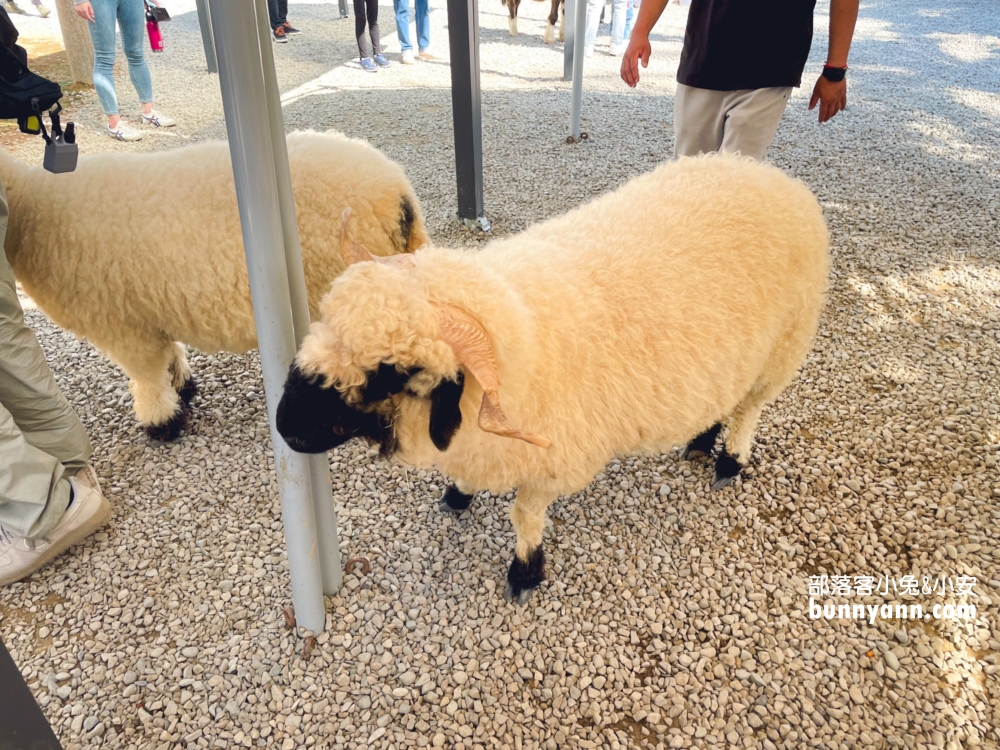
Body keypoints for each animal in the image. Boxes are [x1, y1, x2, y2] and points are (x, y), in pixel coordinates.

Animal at [0, 129, 426, 440]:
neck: (31, 213)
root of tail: (398, 193)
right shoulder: (149, 308)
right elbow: (168, 355)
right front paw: (182, 385)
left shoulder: (123, 327)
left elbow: (146, 377)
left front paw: (161, 423)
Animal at [274, 154, 828, 604]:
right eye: (325, 318)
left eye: (394, 373)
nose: (285, 425)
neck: (520, 329)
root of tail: (774, 177)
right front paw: (458, 495)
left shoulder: (553, 465)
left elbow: (525, 519)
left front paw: (524, 574)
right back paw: (698, 441)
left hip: (782, 350)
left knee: (749, 408)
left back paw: (729, 461)